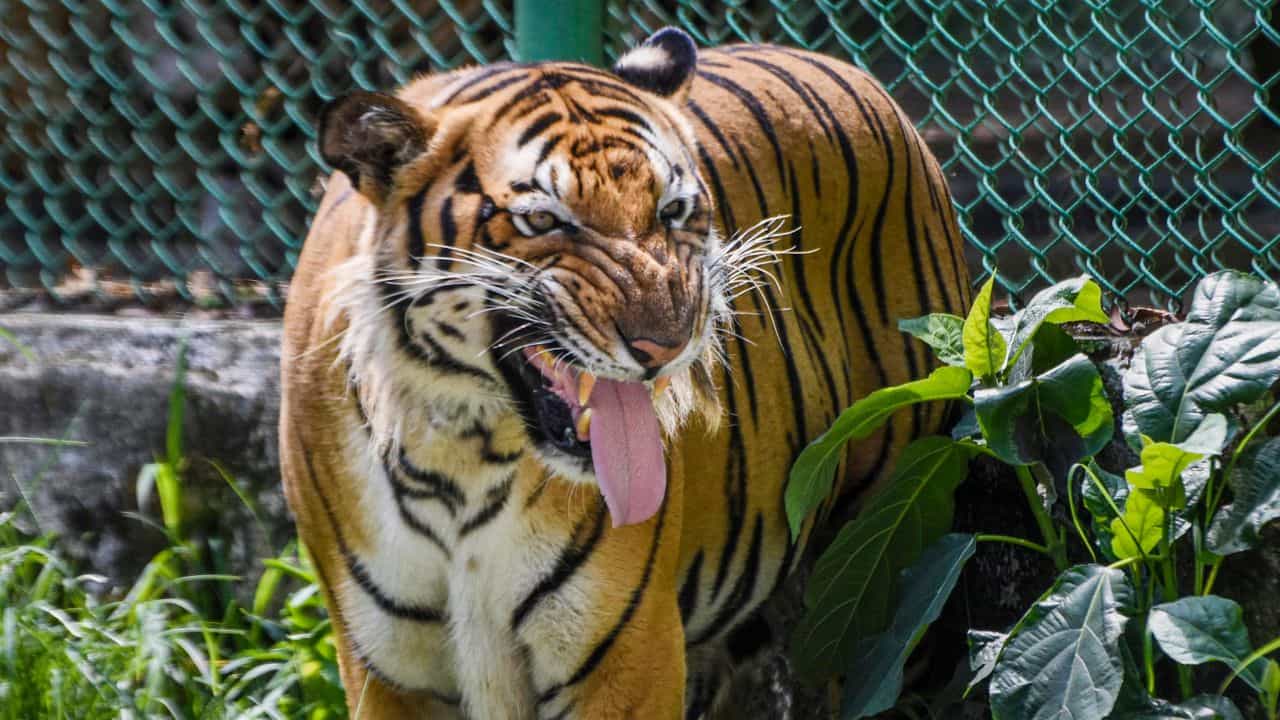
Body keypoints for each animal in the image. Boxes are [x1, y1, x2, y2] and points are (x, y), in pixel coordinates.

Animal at [279, 26, 970, 720]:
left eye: (673, 210)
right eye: (541, 220)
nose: (669, 342)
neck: (462, 458)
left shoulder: (623, 649)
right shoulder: (386, 670)